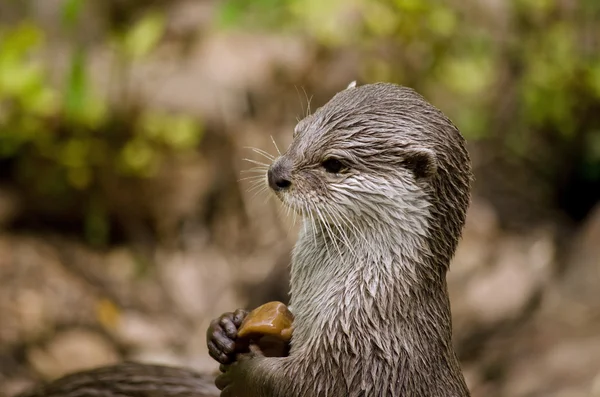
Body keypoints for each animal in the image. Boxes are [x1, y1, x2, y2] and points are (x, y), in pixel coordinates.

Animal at [209, 82, 472, 394]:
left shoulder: (357, 350)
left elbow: (298, 383)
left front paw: (243, 373)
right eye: (298, 131)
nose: (276, 174)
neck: (378, 300)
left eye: (334, 164)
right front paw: (226, 326)